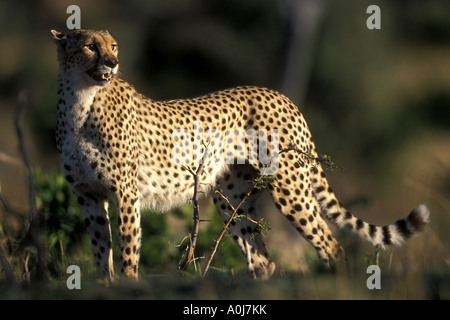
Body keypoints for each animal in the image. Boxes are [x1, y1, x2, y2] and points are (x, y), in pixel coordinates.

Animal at [51, 30, 430, 280]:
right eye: (90, 46)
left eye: (113, 45)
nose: (114, 62)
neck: (81, 102)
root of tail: (280, 95)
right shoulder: (87, 196)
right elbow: (100, 252)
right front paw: (105, 285)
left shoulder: (126, 194)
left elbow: (128, 250)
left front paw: (128, 285)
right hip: (231, 199)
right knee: (262, 260)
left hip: (289, 187)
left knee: (328, 243)